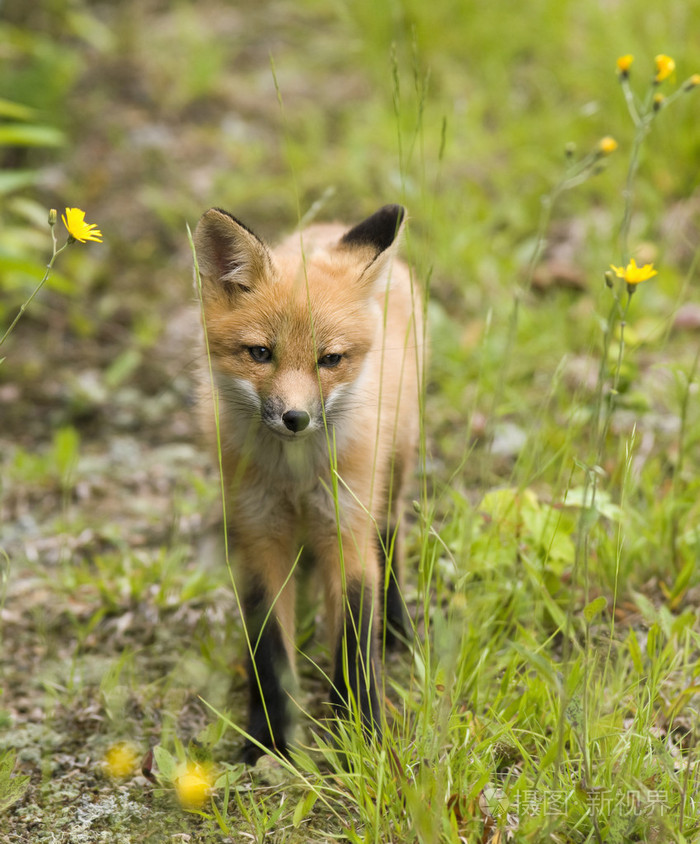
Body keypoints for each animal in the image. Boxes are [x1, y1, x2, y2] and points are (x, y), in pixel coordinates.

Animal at [191, 204, 422, 764]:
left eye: (330, 359)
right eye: (260, 353)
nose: (295, 418)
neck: (294, 478)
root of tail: (328, 227)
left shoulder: (346, 532)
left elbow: (355, 645)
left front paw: (362, 737)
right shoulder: (259, 538)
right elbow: (270, 654)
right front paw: (269, 745)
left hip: (394, 473)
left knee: (392, 535)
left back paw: (397, 628)